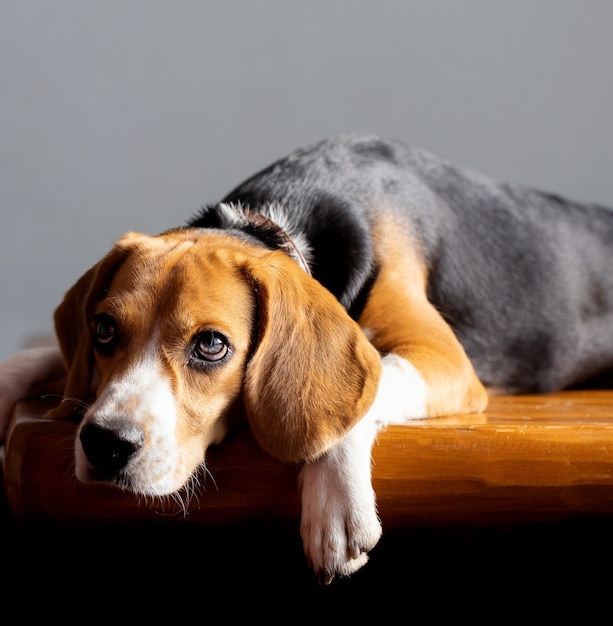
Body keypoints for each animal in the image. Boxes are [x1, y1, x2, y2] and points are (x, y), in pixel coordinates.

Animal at [1, 134, 612, 584]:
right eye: (104, 330)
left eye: (212, 345)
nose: (105, 443)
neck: (278, 221)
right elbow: (40, 359)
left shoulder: (442, 359)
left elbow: (367, 390)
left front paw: (334, 499)